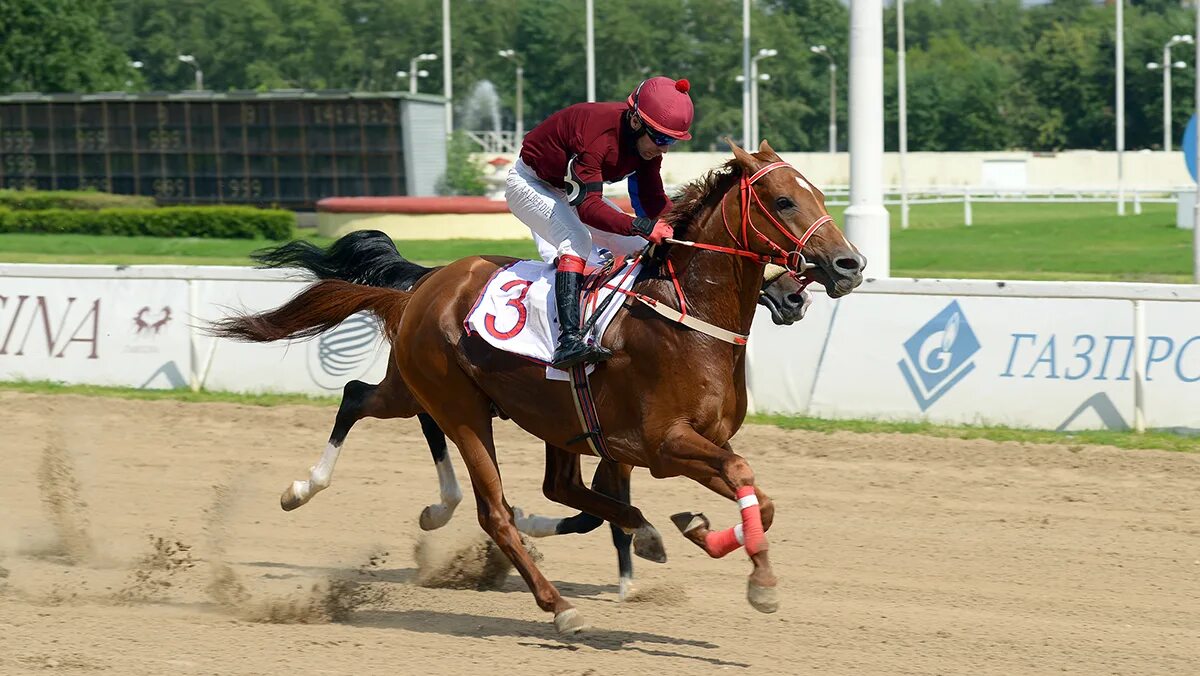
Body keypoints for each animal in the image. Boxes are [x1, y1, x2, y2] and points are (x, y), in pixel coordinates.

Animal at [208, 142, 864, 633]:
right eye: (784, 199)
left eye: (820, 194)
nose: (848, 265)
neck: (687, 315)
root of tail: (427, 282)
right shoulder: (663, 444)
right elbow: (742, 477)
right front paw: (758, 582)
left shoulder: (664, 443)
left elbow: (756, 499)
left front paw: (696, 532)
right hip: (462, 407)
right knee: (490, 509)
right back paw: (557, 605)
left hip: (451, 396)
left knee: (360, 395)